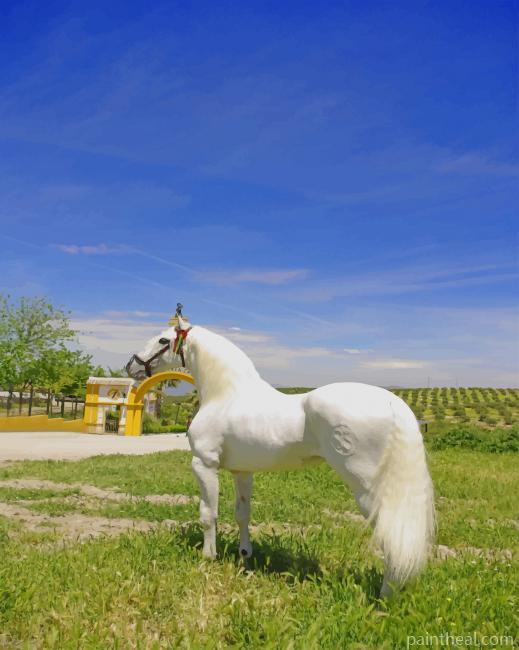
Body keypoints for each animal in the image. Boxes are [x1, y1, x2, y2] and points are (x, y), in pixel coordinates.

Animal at [126, 313, 435, 598]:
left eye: (163, 340)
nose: (131, 365)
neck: (226, 396)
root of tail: (393, 403)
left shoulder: (204, 465)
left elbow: (208, 513)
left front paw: (208, 558)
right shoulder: (242, 472)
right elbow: (242, 514)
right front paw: (245, 556)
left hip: (367, 487)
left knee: (390, 531)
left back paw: (385, 595)